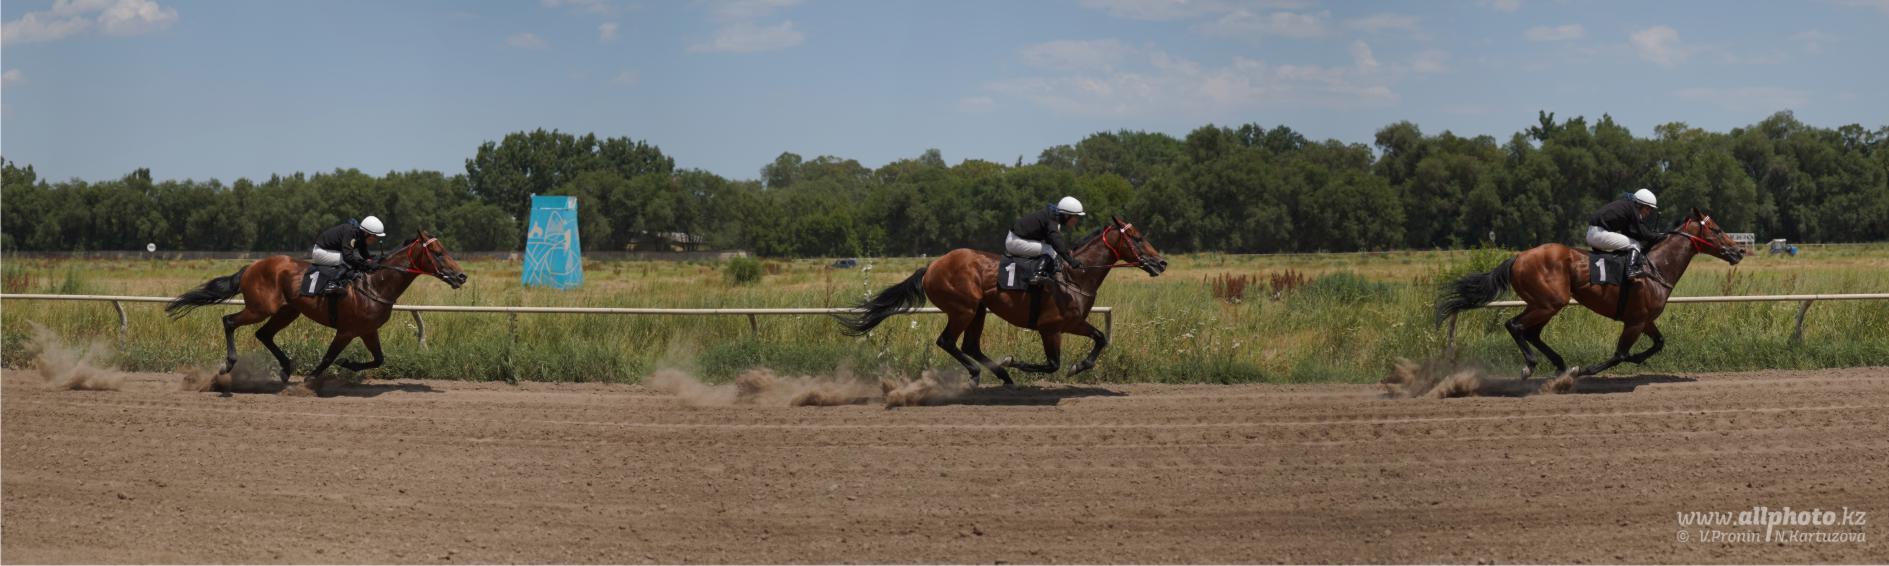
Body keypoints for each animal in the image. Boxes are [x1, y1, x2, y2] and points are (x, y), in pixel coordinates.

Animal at [165, 231, 468, 390]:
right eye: (438, 253)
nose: (461, 276)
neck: (376, 284)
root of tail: (252, 266)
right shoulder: (346, 330)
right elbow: (329, 356)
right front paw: (313, 378)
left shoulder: (367, 330)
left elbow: (379, 359)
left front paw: (347, 364)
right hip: (261, 307)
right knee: (229, 321)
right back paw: (227, 365)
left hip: (287, 311)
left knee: (264, 335)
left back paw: (285, 369)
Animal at [835, 215, 1168, 386]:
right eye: (1137, 238)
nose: (1162, 262)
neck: (1074, 276)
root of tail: (932, 266)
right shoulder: (1053, 327)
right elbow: (1053, 364)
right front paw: (1013, 360)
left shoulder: (1073, 322)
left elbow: (1100, 338)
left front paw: (1078, 366)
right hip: (963, 308)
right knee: (947, 341)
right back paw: (980, 373)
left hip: (979, 310)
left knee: (969, 345)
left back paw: (1000, 375)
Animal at [1436, 208, 1746, 378]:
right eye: (1717, 229)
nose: (1739, 251)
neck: (1656, 267)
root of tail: (1518, 258)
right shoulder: (1634, 321)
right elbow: (1619, 354)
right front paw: (1583, 370)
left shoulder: (1645, 319)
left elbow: (1658, 343)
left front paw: (1637, 359)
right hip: (1549, 302)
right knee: (1515, 325)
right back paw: (1533, 366)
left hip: (1545, 304)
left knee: (1531, 332)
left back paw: (1559, 364)